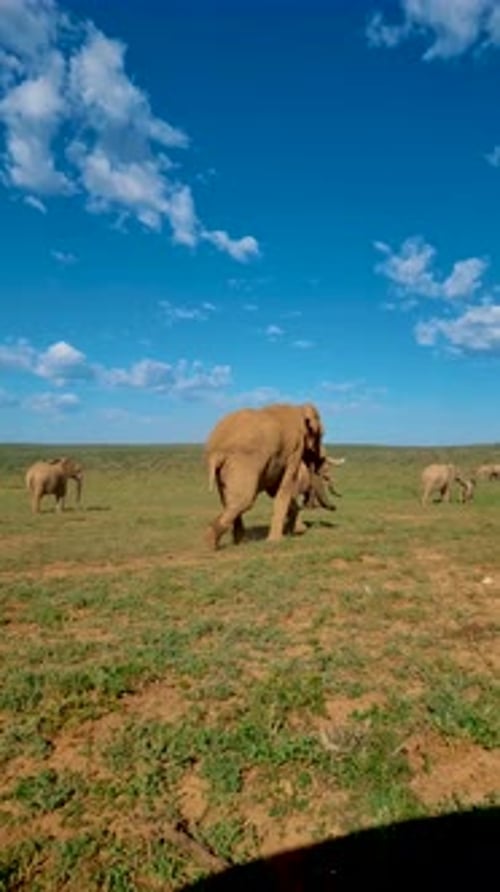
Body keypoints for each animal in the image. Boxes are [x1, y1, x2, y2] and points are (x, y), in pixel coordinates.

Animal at [205, 402, 325, 548]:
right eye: (322, 435)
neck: (299, 408)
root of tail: (217, 450)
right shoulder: (295, 449)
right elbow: (285, 487)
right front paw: (276, 541)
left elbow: (275, 489)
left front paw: (296, 531)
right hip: (243, 462)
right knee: (244, 499)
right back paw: (211, 542)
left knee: (229, 500)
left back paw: (238, 542)